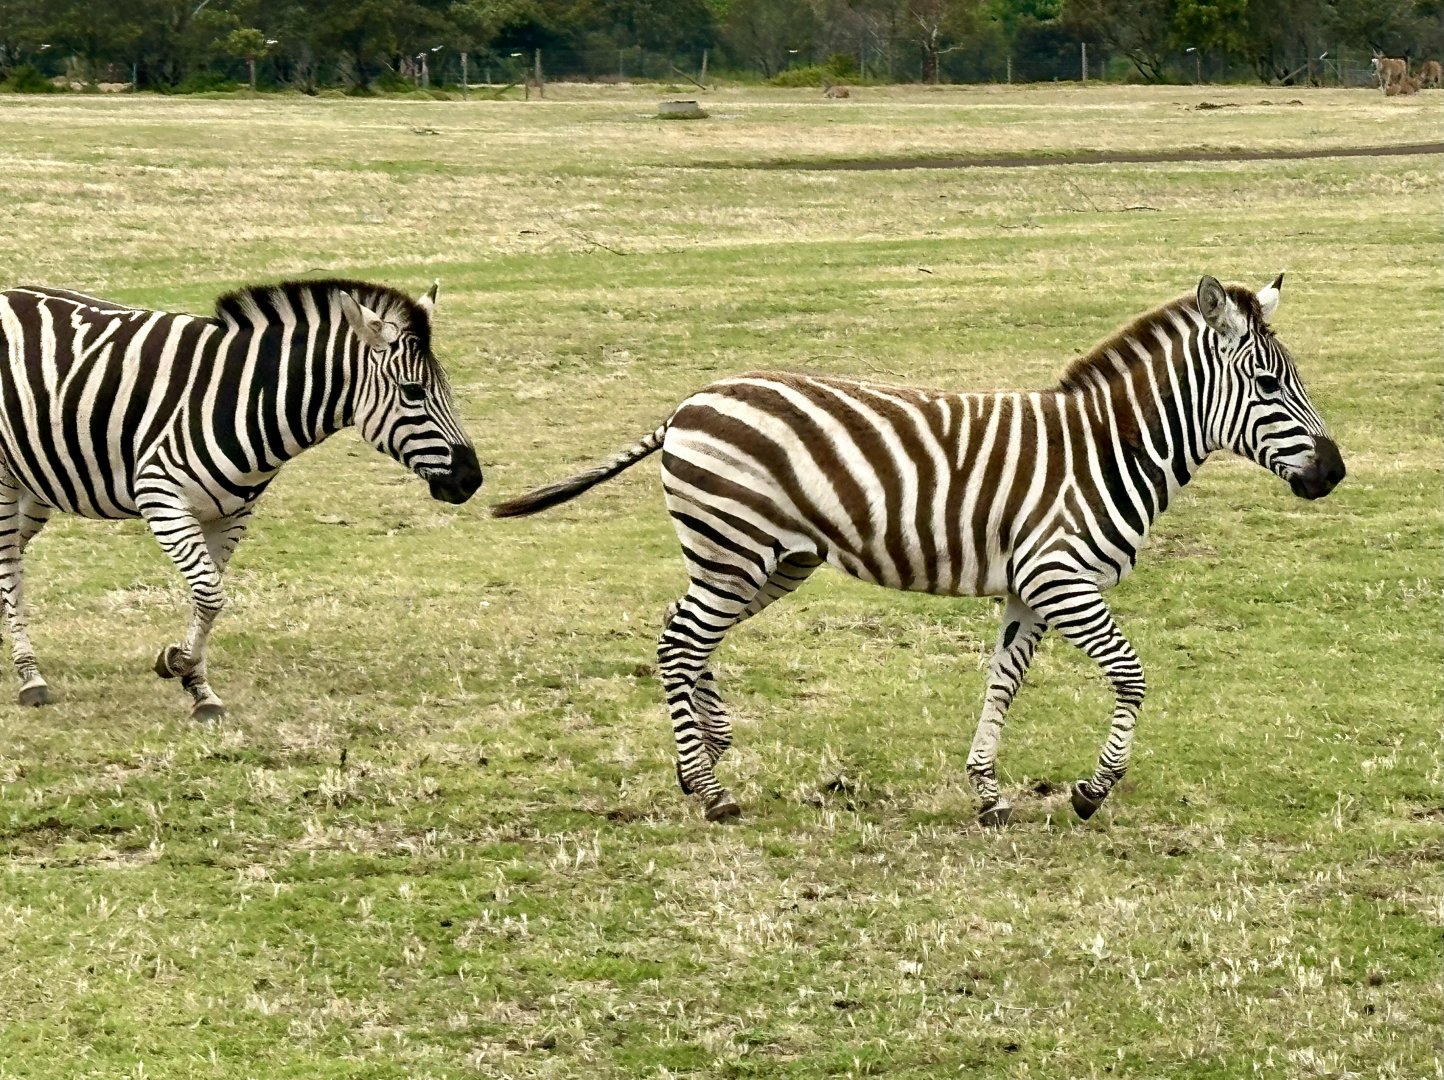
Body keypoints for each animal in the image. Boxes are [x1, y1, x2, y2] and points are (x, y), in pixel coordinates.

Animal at [0, 278, 482, 719]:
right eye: (414, 392)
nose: (471, 480)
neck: (249, 398)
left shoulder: (232, 512)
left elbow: (206, 597)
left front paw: (196, 685)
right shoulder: (161, 497)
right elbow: (212, 595)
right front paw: (179, 664)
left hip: (38, 483)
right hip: (6, 480)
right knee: (9, 565)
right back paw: (30, 677)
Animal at [492, 274, 1345, 825]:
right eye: (1269, 385)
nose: (1334, 472)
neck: (1111, 448)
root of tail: (685, 407)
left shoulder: (1028, 589)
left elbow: (1002, 684)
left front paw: (988, 794)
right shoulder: (1062, 577)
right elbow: (1132, 677)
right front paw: (1091, 792)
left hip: (762, 561)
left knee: (688, 638)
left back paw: (701, 756)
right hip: (737, 551)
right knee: (677, 642)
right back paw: (710, 790)